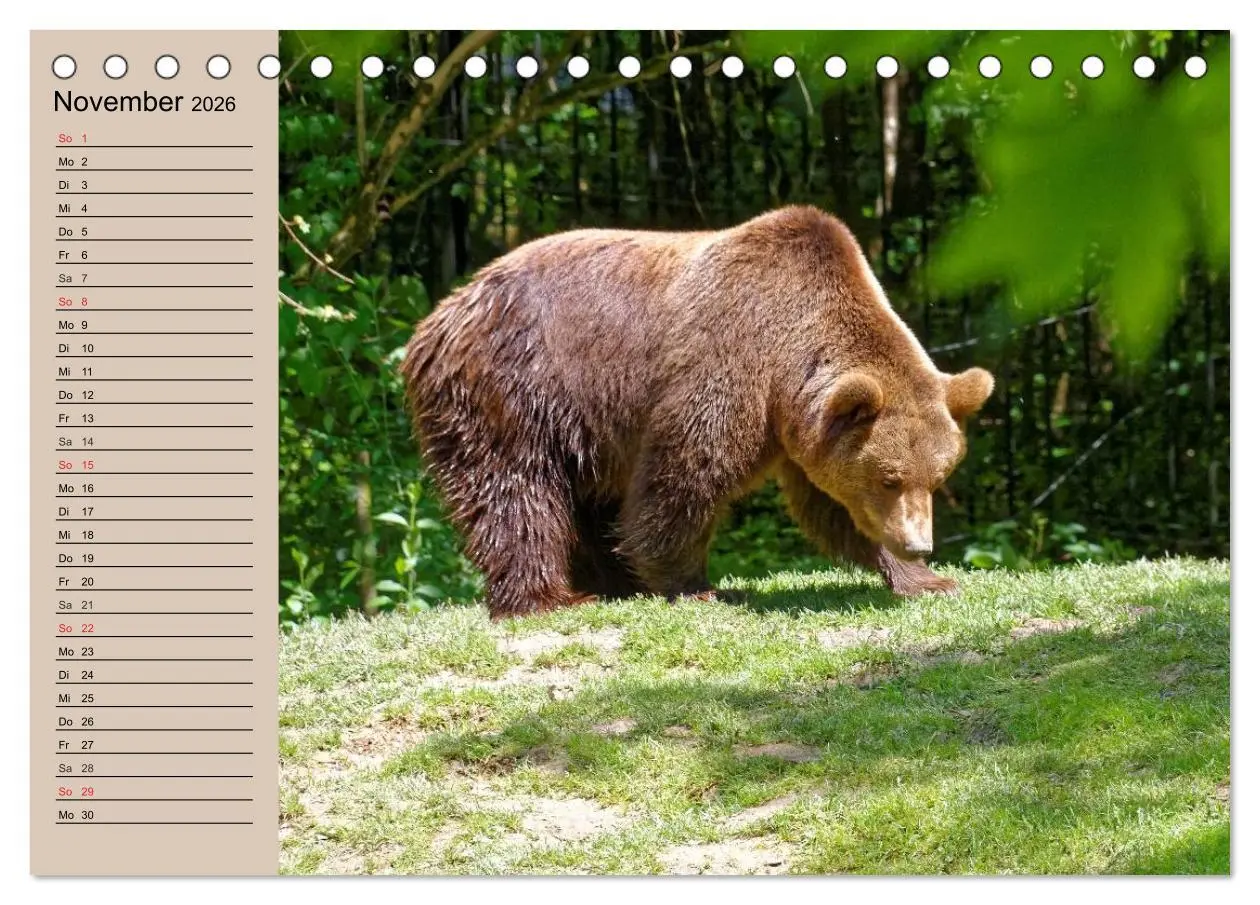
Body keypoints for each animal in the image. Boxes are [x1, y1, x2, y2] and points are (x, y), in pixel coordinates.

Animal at [402, 205, 993, 619]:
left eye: (936, 477)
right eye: (890, 478)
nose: (919, 541)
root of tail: (439, 315)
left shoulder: (806, 429)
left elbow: (832, 505)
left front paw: (925, 578)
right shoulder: (728, 359)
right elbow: (687, 473)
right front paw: (696, 586)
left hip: (585, 426)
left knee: (587, 499)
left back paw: (614, 584)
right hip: (517, 388)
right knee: (515, 491)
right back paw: (549, 598)